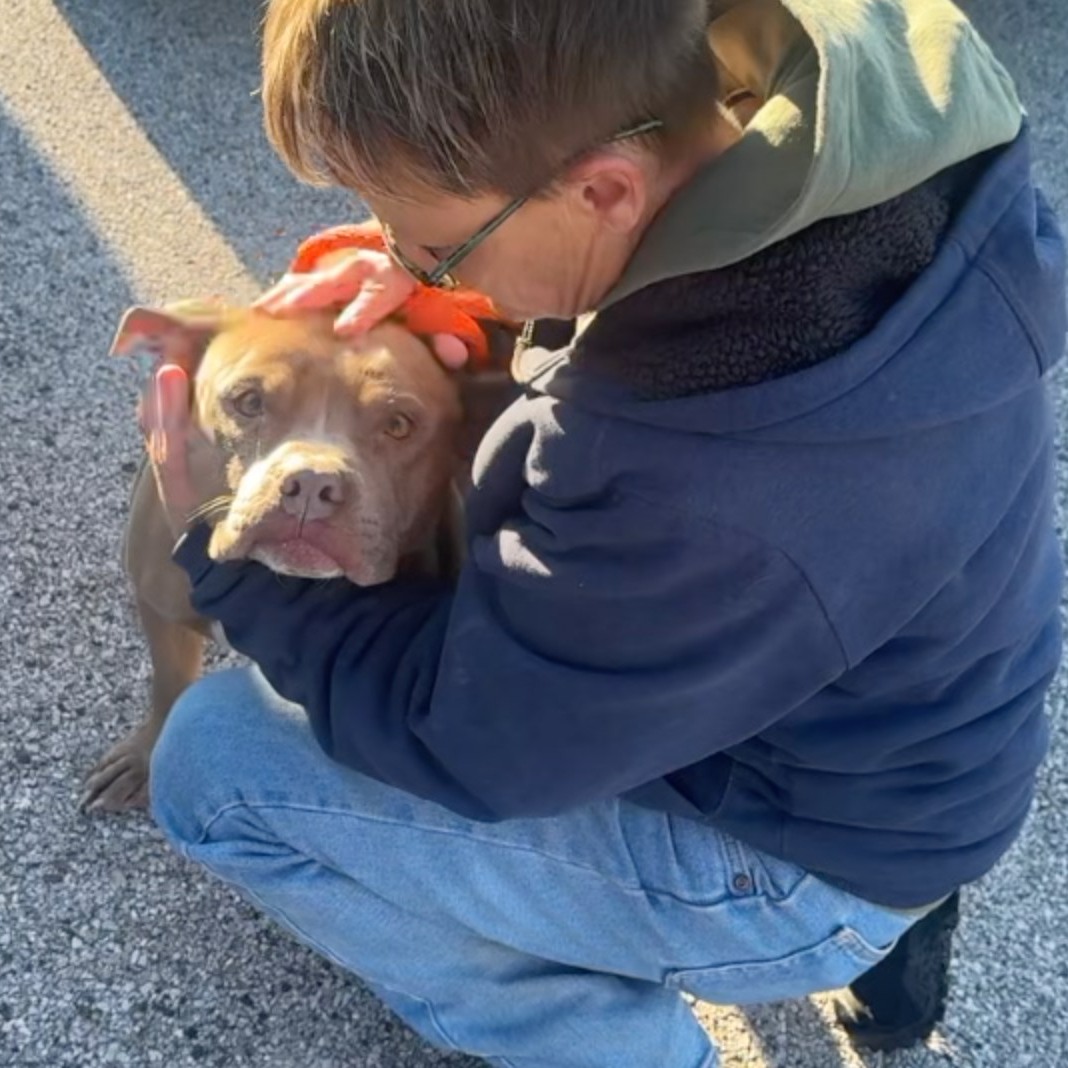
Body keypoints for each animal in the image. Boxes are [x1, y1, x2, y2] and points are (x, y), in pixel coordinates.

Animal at [83, 296, 516, 811]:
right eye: (248, 402)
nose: (312, 483)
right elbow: (169, 684)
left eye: (398, 424)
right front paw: (143, 759)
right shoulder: (157, 605)